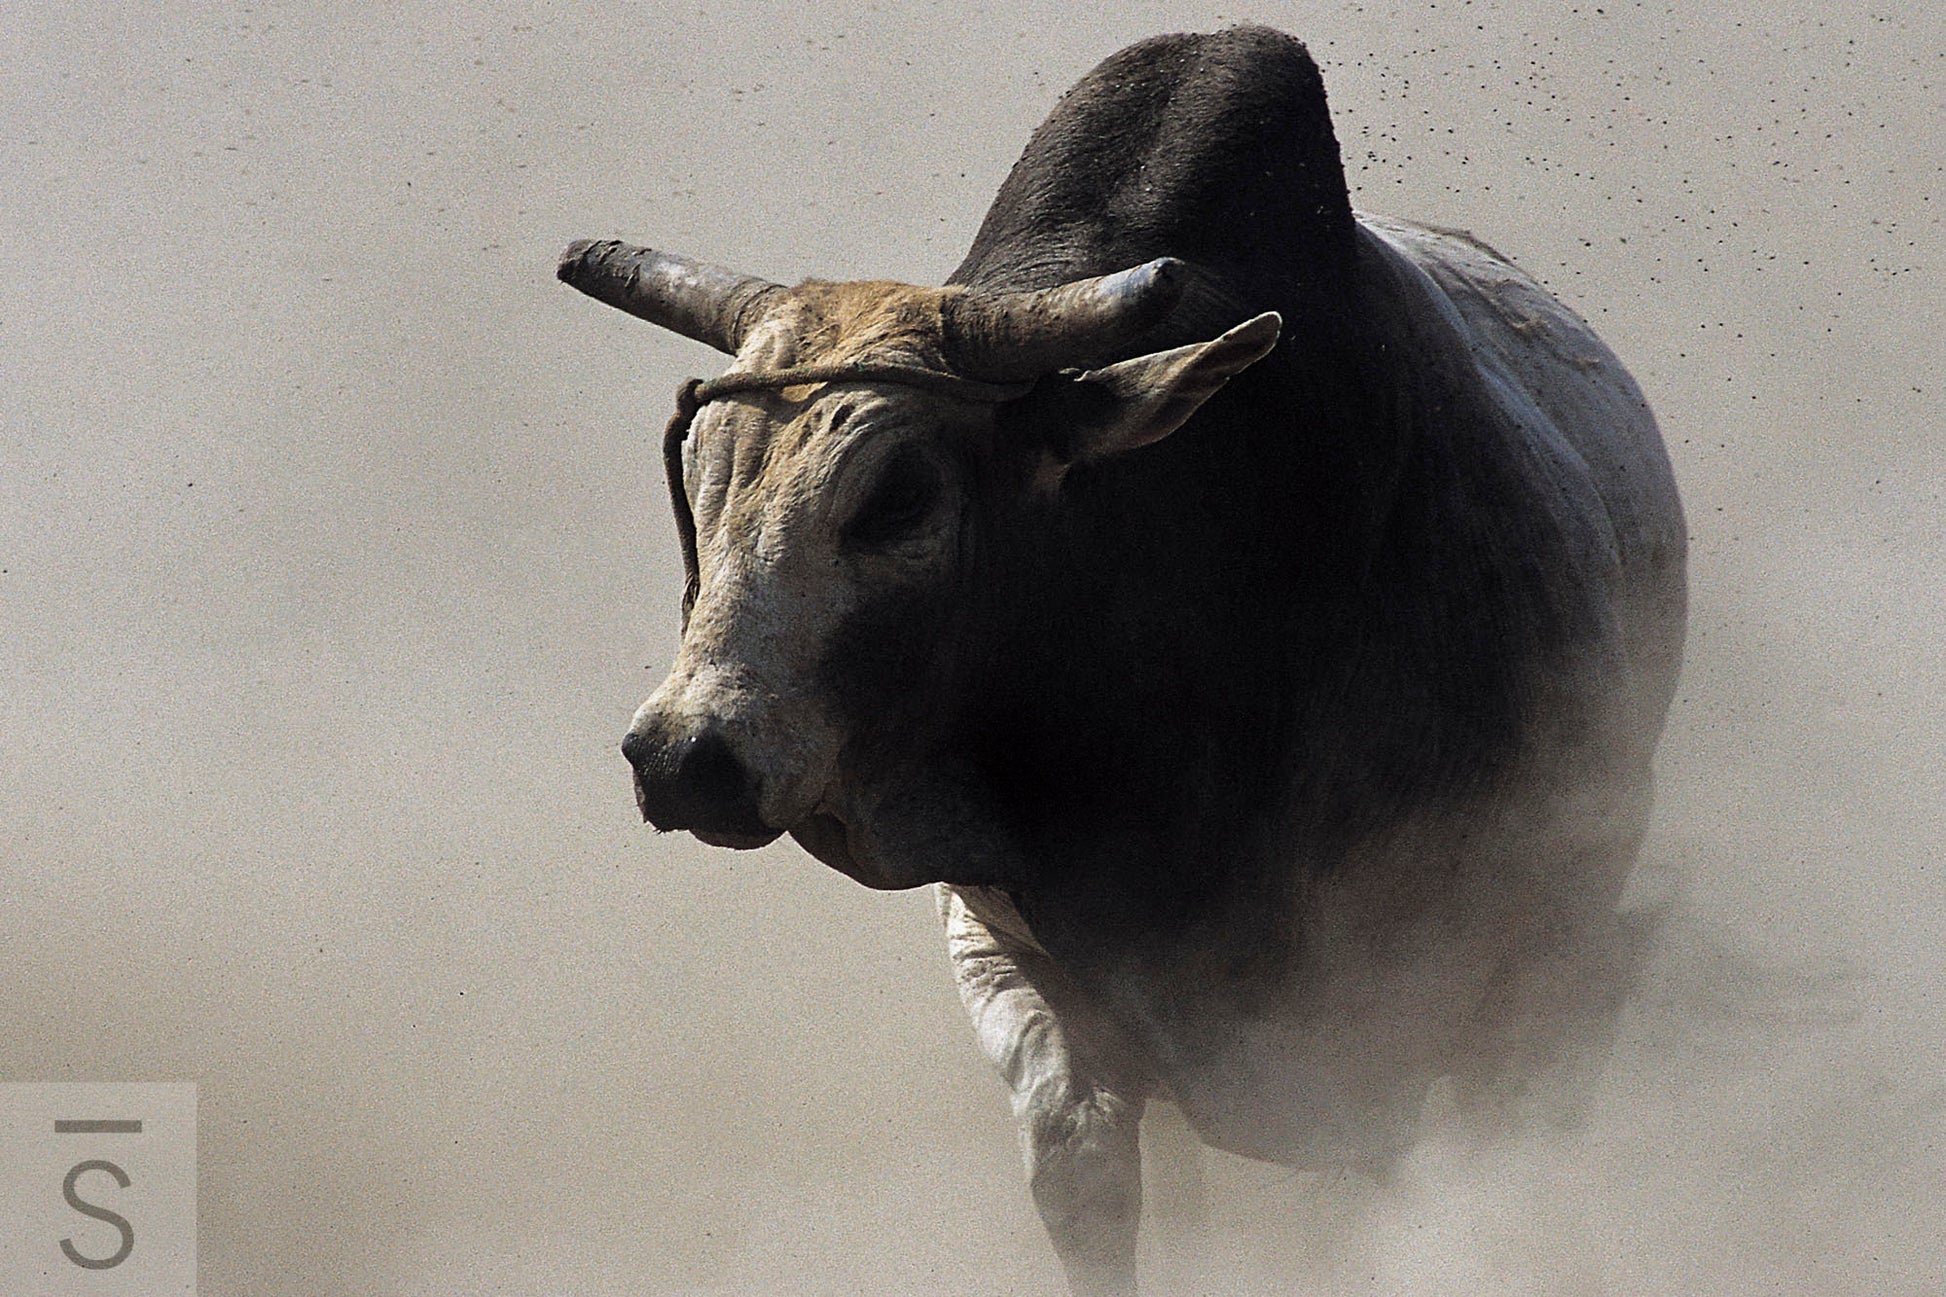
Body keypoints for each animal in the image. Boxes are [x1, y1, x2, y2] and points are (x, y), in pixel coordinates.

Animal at [556, 25, 1681, 1285]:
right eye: (700, 466)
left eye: (898, 496)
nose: (680, 756)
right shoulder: (1008, 960)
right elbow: (1083, 1175)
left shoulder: (1478, 998)